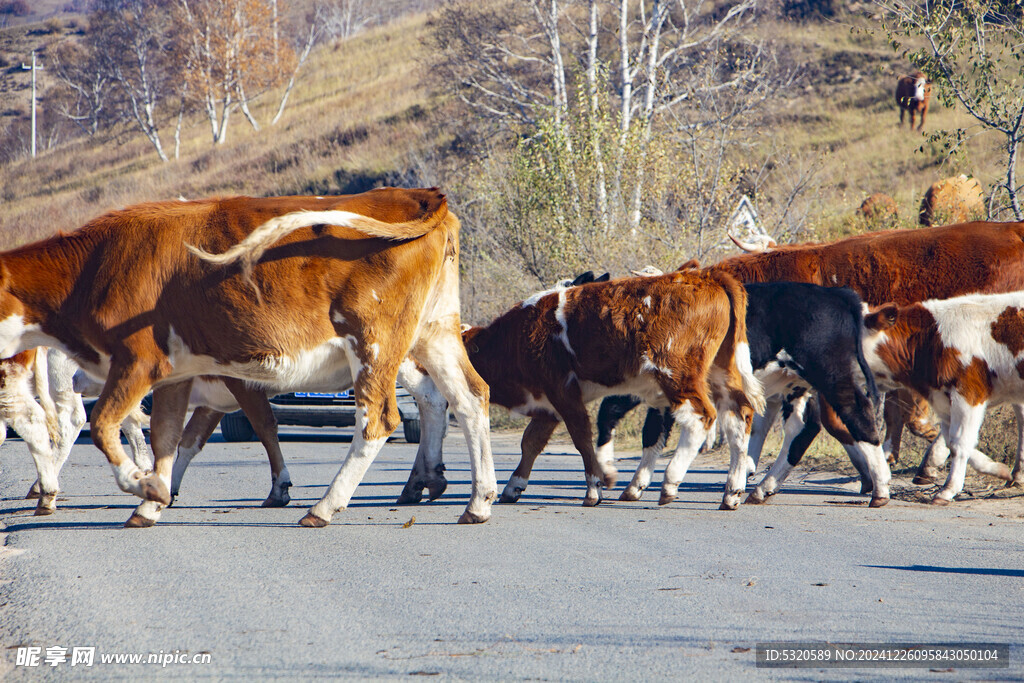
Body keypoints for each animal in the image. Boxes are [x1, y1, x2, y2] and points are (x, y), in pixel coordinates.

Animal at [0, 187, 495, 528]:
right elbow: (167, 438)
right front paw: (152, 501)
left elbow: (105, 426)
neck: (95, 265)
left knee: (379, 418)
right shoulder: (175, 373)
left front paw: (147, 485)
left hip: (374, 341)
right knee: (469, 397)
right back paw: (478, 501)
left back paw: (325, 507)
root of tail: (420, 194)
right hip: (434, 332)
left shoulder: (138, 361)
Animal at [466, 270, 770, 509]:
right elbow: (531, 441)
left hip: (677, 374)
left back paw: (671, 482)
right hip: (721, 372)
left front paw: (593, 490)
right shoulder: (549, 401)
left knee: (701, 418)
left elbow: (581, 438)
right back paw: (732, 492)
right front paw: (514, 485)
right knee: (739, 416)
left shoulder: (563, 391)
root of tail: (706, 276)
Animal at [860, 290, 1024, 505]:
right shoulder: (942, 401)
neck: (931, 339)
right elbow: (951, 441)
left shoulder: (969, 395)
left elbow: (959, 443)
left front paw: (947, 490)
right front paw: (997, 469)